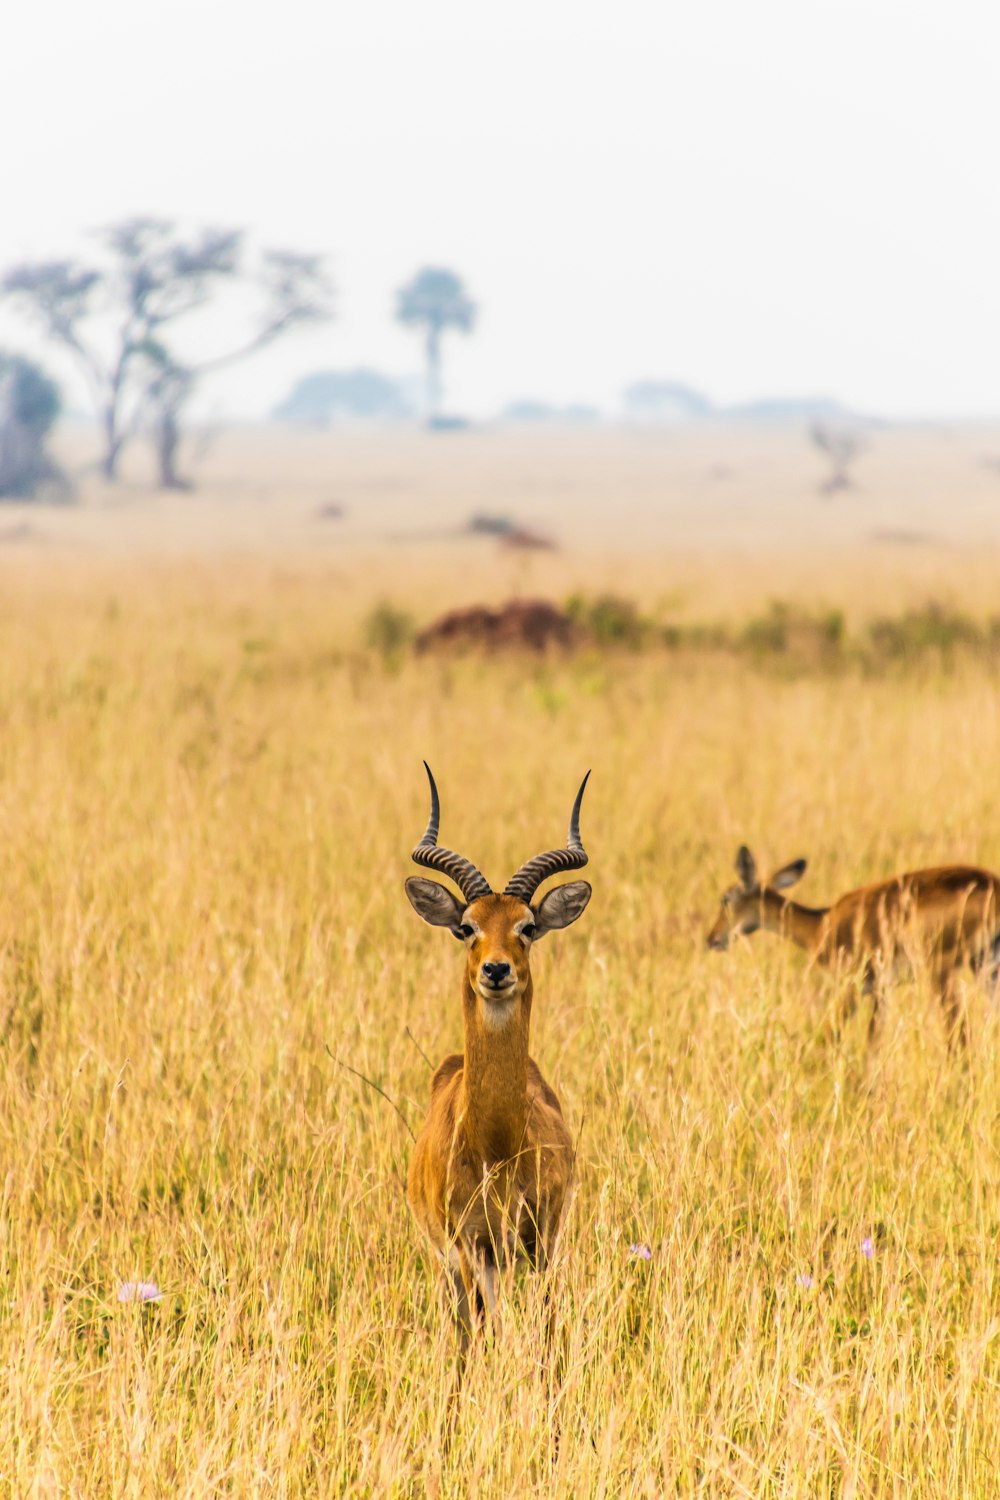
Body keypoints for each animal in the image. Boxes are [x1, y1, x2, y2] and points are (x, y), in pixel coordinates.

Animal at [404, 756, 593, 1356]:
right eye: (466, 928)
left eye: (527, 927)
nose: (495, 969)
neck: (496, 1147)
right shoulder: (469, 1251)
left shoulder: (543, 1243)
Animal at [704, 846, 1000, 1044]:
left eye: (726, 898)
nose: (712, 938)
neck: (821, 925)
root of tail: (992, 885)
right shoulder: (881, 991)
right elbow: (873, 1043)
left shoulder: (852, 986)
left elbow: (829, 1035)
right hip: (985, 967)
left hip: (942, 971)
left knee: (958, 1036)